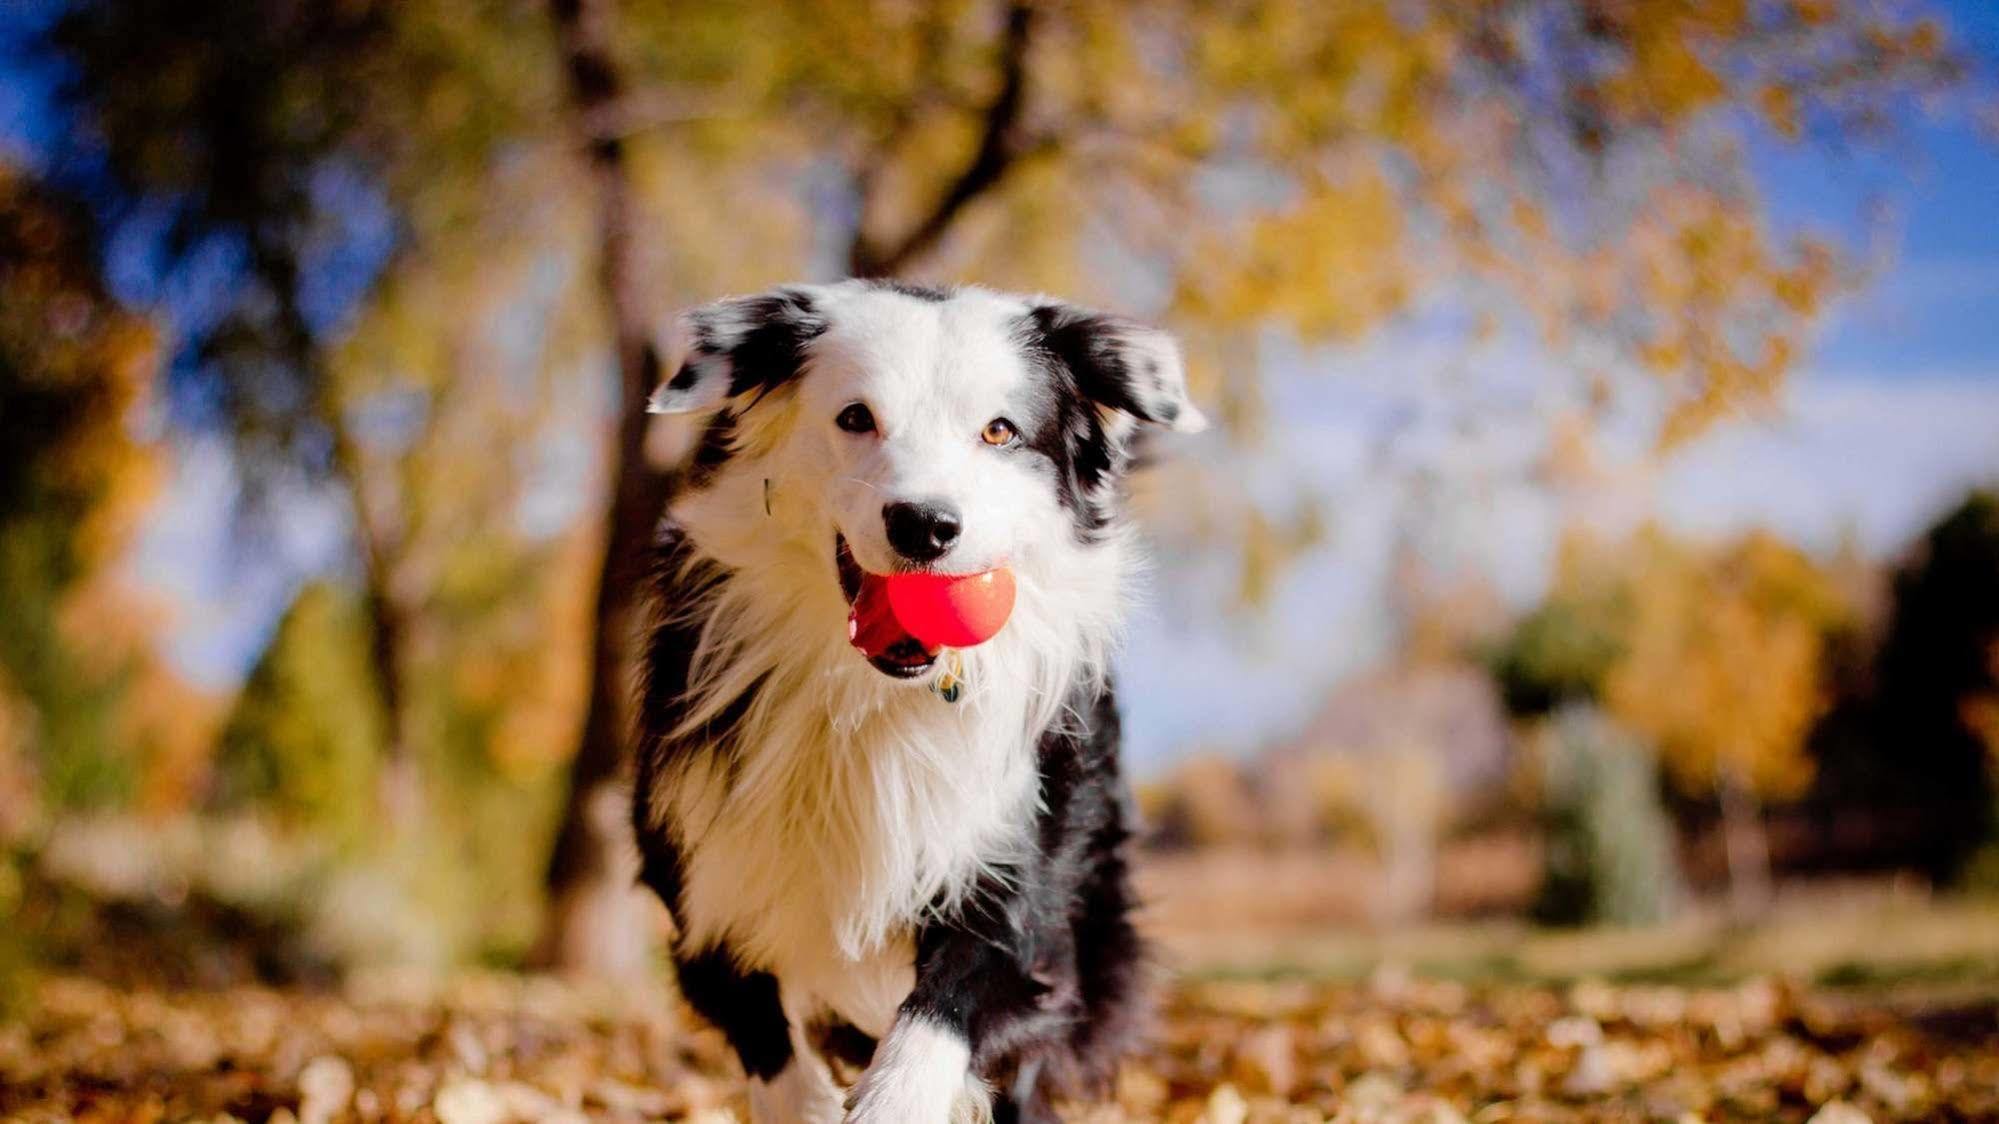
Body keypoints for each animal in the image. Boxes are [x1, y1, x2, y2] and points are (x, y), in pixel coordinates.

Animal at [635, 276, 1199, 1112]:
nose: (924, 524)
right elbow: (774, 1056)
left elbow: (936, 1021)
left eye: (999, 431)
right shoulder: (705, 890)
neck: (874, 699)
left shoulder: (1016, 885)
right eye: (855, 417)